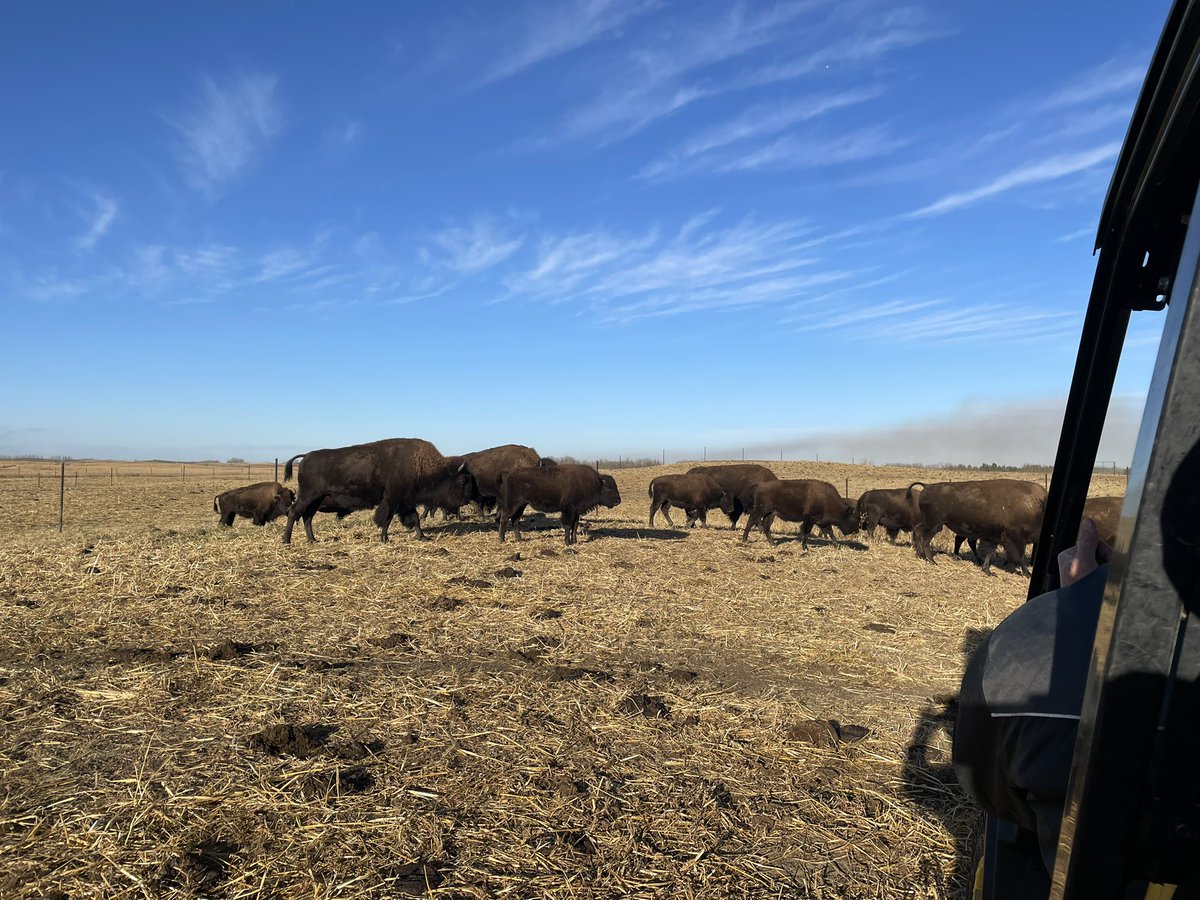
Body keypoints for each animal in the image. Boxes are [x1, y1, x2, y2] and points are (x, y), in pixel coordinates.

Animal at [281, 438, 475, 544]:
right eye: (463, 480)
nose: (466, 500)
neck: (419, 463)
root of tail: (305, 457)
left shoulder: (407, 502)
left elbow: (415, 520)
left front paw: (423, 537)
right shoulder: (392, 500)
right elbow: (386, 519)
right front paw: (384, 538)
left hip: (316, 500)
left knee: (307, 517)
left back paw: (312, 540)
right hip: (307, 496)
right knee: (294, 513)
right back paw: (286, 541)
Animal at [907, 479, 1046, 576]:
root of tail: (927, 486)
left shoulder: (994, 537)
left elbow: (989, 552)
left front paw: (988, 571)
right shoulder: (1014, 537)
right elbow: (1019, 557)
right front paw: (1027, 573)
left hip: (931, 524)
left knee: (917, 531)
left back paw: (921, 555)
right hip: (935, 525)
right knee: (925, 538)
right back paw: (932, 560)